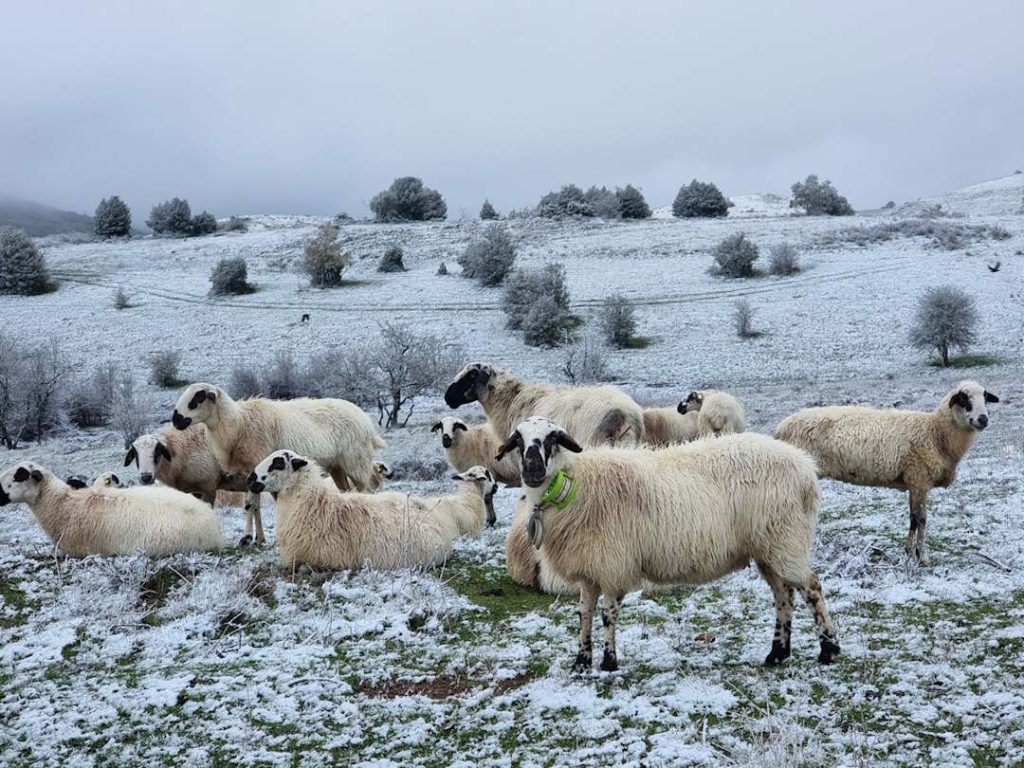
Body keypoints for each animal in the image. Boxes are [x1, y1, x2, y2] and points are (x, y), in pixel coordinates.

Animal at [171, 383, 386, 545]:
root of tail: (366, 421)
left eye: (197, 399)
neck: (237, 425)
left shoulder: (256, 470)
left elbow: (250, 505)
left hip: (356, 460)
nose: (176, 420)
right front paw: (259, 538)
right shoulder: (252, 476)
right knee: (347, 491)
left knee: (367, 490)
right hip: (337, 466)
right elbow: (256, 506)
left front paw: (246, 537)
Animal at [495, 417, 839, 672]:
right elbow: (584, 615)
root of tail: (805, 468)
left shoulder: (613, 565)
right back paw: (777, 653)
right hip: (769, 547)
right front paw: (581, 662)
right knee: (784, 595)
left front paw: (608, 662)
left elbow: (607, 615)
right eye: (519, 440)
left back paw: (828, 649)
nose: (533, 469)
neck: (573, 485)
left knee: (811, 588)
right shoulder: (591, 568)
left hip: (785, 540)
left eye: (552, 438)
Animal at [774, 380, 1000, 564]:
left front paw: (909, 552)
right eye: (964, 400)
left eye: (985, 399)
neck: (936, 434)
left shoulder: (913, 481)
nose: (983, 419)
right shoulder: (920, 479)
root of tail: (780, 428)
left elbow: (912, 517)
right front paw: (922, 557)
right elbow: (922, 519)